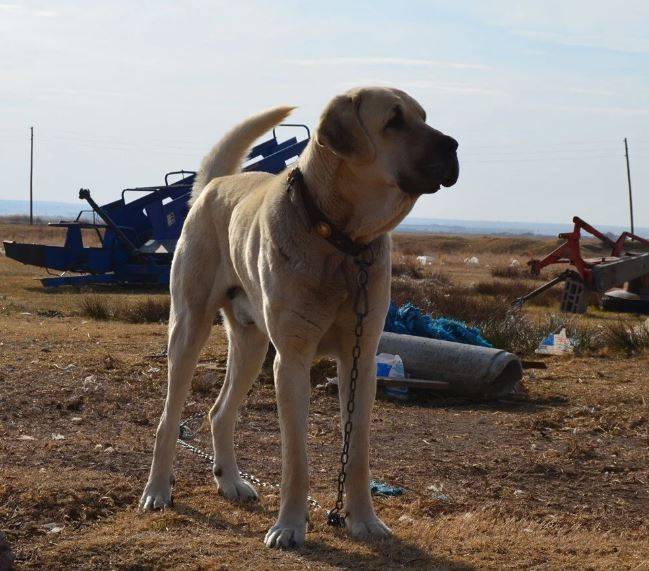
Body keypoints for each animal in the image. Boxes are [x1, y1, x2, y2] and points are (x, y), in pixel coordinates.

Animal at [139, 86, 458, 548]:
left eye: (424, 117)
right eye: (394, 121)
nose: (454, 146)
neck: (340, 241)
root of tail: (215, 184)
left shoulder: (361, 361)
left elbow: (357, 452)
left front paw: (364, 520)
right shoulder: (290, 361)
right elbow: (296, 457)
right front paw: (289, 526)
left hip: (251, 345)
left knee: (219, 412)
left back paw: (230, 481)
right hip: (188, 330)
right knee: (168, 419)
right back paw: (157, 490)